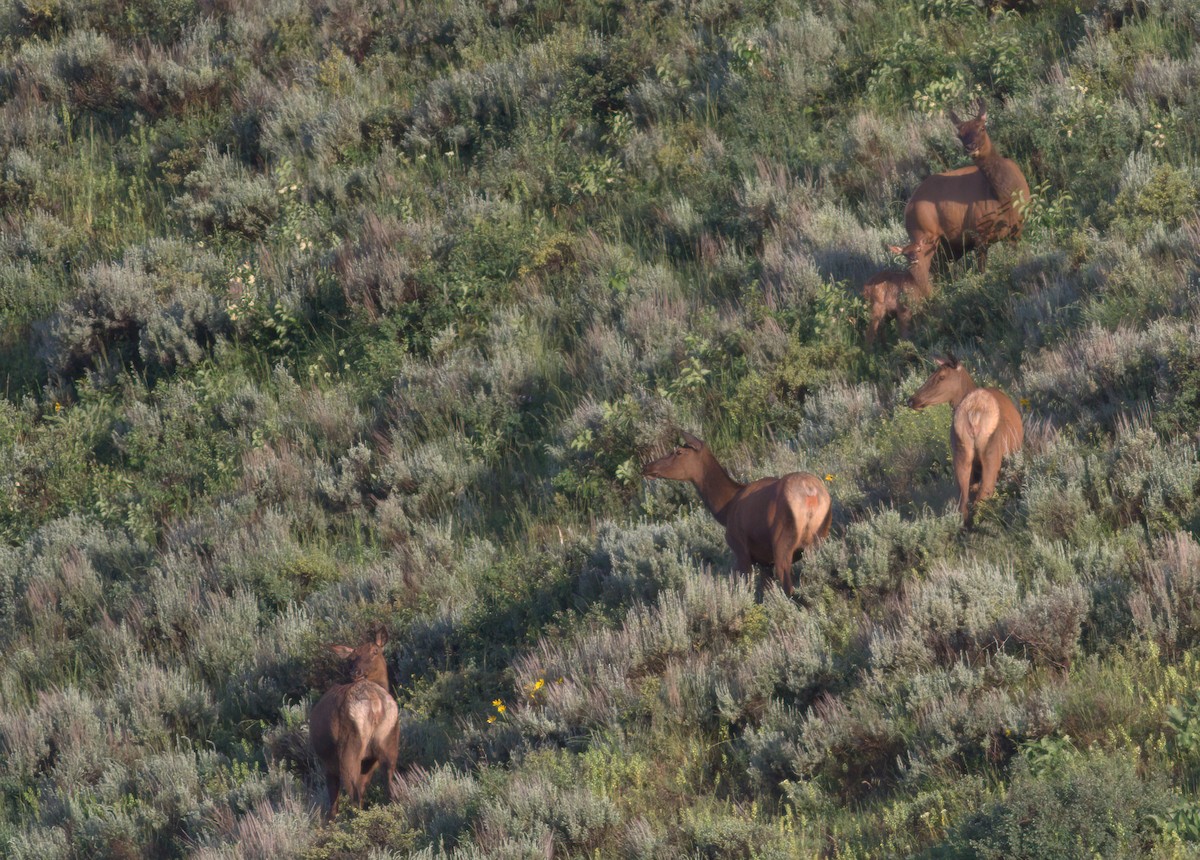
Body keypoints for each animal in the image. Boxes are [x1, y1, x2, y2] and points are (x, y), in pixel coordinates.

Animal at [309, 629, 400, 819]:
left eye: (375, 651)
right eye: (352, 657)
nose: (355, 671)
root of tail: (375, 703)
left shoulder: (328, 763)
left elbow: (334, 799)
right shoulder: (369, 762)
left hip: (348, 749)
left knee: (353, 794)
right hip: (388, 742)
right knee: (389, 786)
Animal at [641, 431, 831, 597]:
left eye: (678, 452)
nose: (646, 467)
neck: (725, 510)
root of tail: (811, 493)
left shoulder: (741, 551)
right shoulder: (765, 562)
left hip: (783, 542)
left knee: (789, 589)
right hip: (818, 539)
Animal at [904, 98, 1031, 273]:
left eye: (982, 127)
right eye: (960, 134)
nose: (971, 147)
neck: (1004, 196)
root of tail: (907, 210)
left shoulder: (1016, 230)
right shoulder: (979, 234)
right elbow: (982, 271)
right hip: (924, 238)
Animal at [908, 355, 1024, 526]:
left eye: (941, 376)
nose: (912, 400)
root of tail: (973, 414)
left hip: (960, 453)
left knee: (963, 503)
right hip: (991, 454)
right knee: (983, 494)